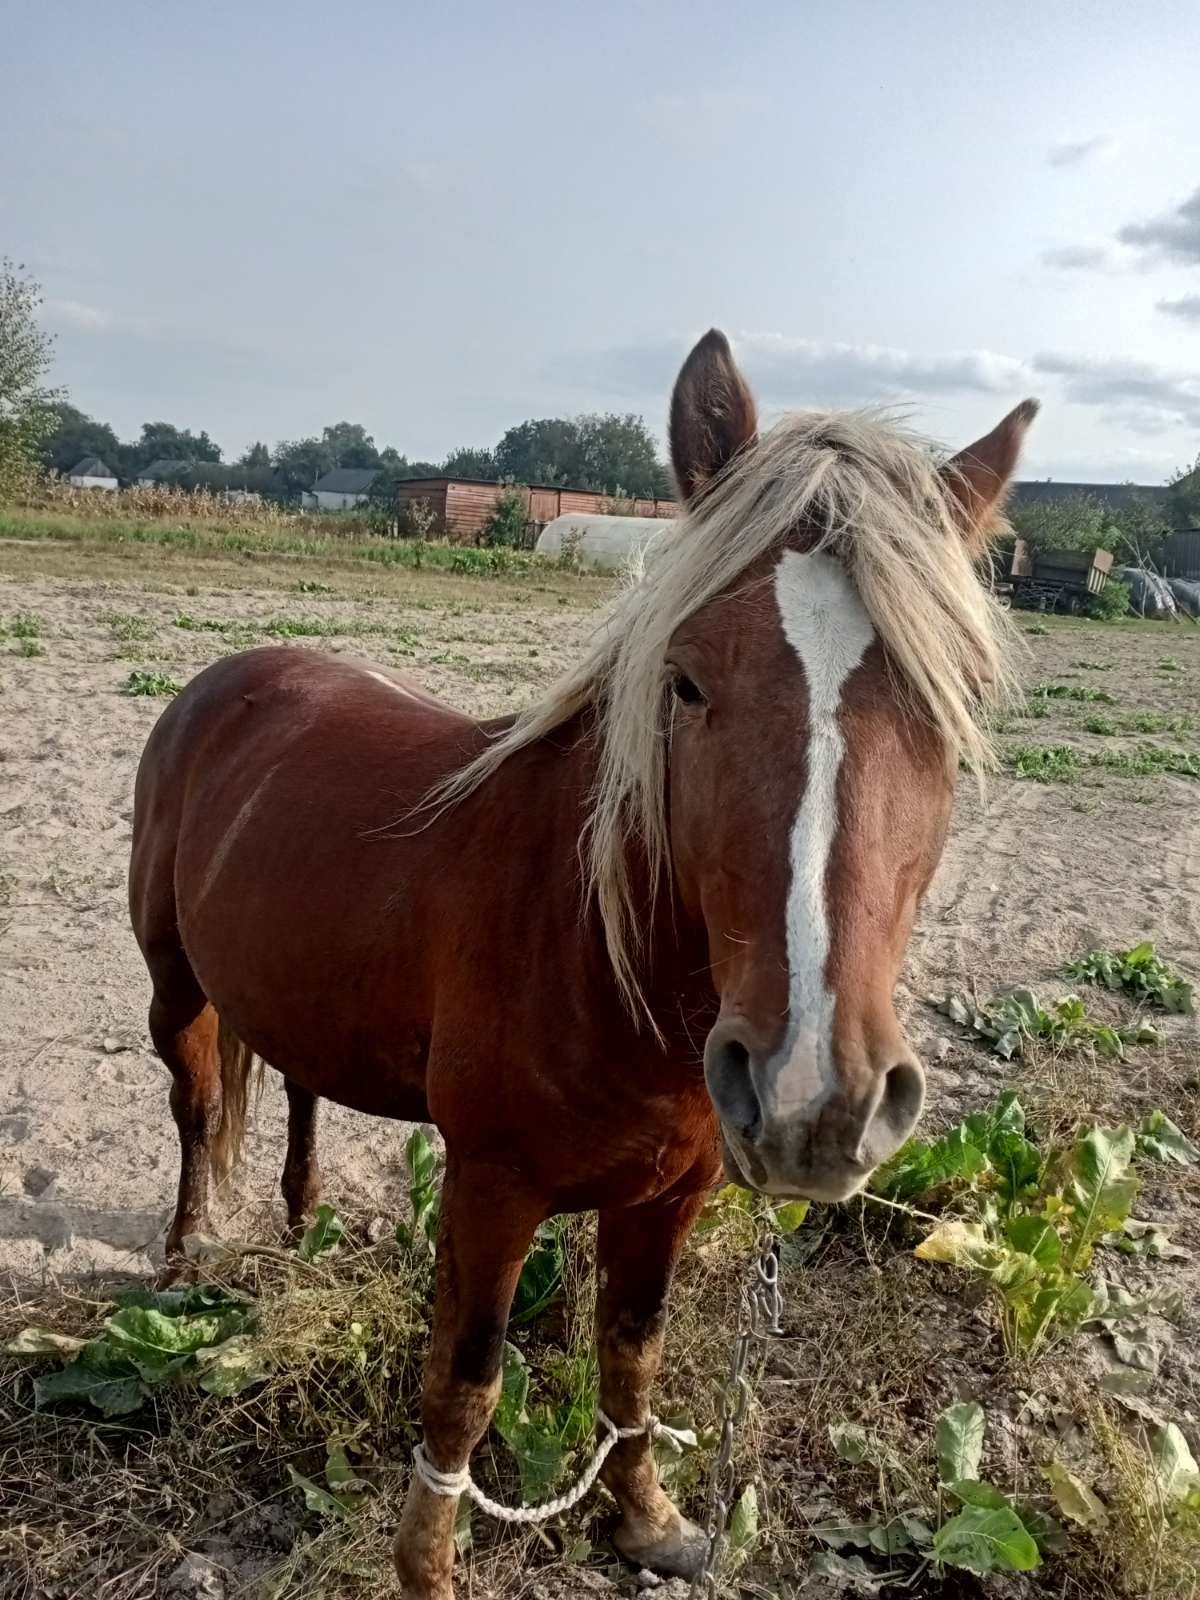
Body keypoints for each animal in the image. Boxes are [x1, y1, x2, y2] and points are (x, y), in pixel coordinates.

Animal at [129, 331, 1036, 1593]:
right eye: (688, 678)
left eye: (956, 706)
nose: (816, 1098)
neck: (603, 959)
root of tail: (229, 677)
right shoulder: (491, 1187)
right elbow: (464, 1387)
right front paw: (430, 1566)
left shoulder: (674, 1194)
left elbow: (633, 1358)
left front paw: (646, 1518)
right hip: (175, 989)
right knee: (195, 1101)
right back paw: (185, 1256)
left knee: (299, 1088)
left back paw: (302, 1223)